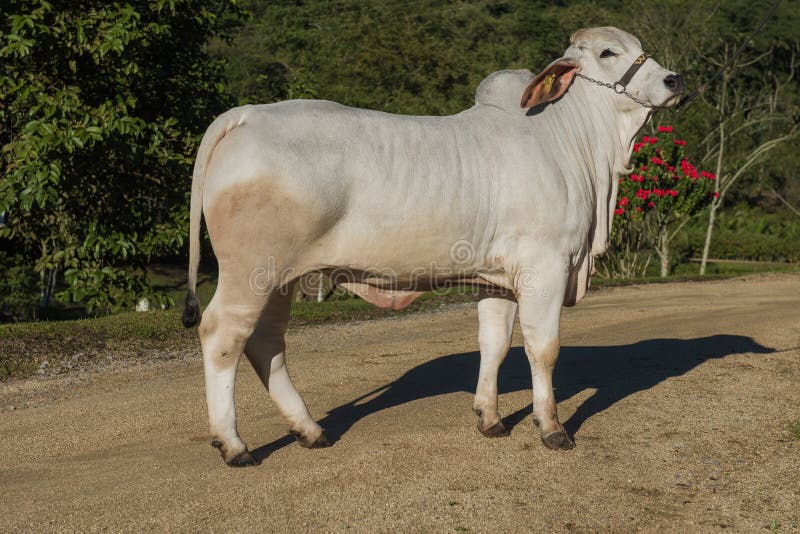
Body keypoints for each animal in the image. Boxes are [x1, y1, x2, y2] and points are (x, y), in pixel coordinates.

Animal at [182, 27, 685, 467]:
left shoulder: (498, 280)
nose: (674, 80)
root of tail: (246, 114)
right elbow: (543, 349)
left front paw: (490, 418)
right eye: (607, 52)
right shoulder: (546, 267)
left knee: (265, 342)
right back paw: (233, 444)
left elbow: (494, 345)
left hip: (281, 278)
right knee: (223, 337)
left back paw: (309, 429)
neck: (571, 142)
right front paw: (551, 428)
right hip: (250, 272)